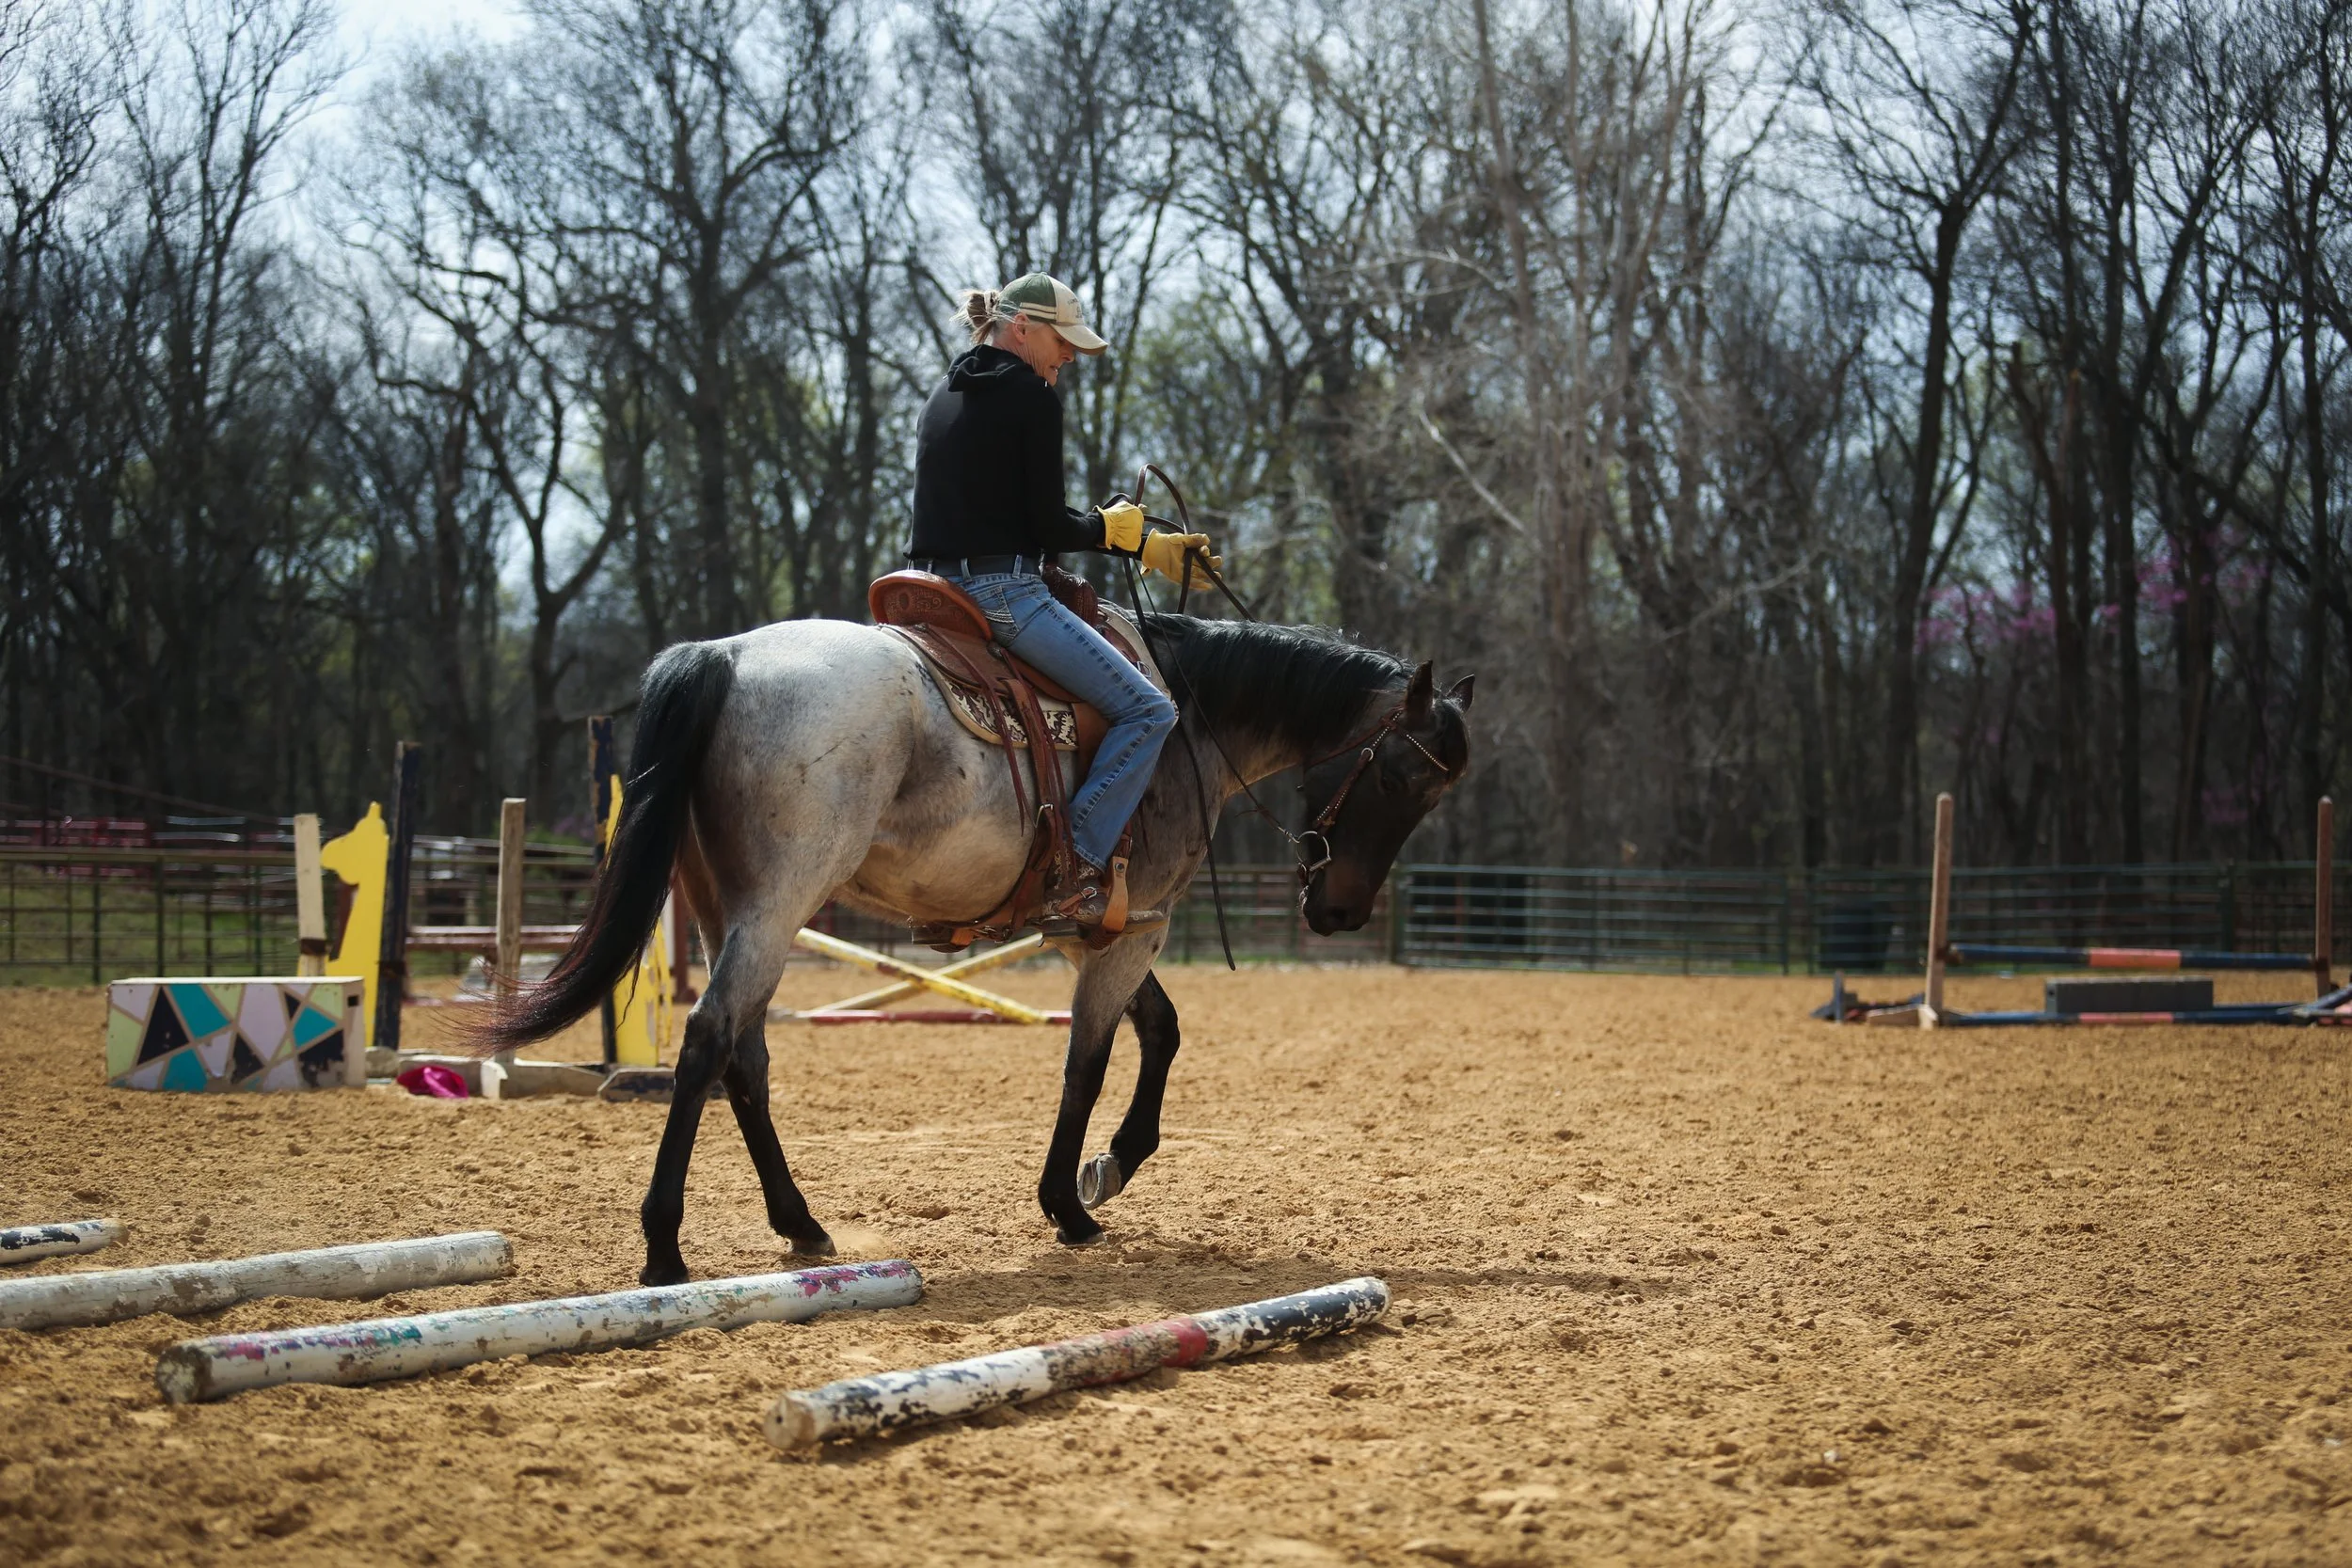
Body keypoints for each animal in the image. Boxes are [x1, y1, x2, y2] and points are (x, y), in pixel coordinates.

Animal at [481, 609, 1474, 1285]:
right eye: (1396, 776)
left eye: (1434, 795)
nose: (1341, 911)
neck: (1191, 715)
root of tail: (725, 656)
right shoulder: (1134, 924)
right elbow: (1090, 1059)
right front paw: (1070, 1202)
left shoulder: (1096, 927)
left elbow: (1159, 1031)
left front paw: (1111, 1165)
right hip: (778, 901)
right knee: (708, 1039)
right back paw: (664, 1245)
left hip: (729, 907)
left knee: (744, 1055)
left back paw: (800, 1222)